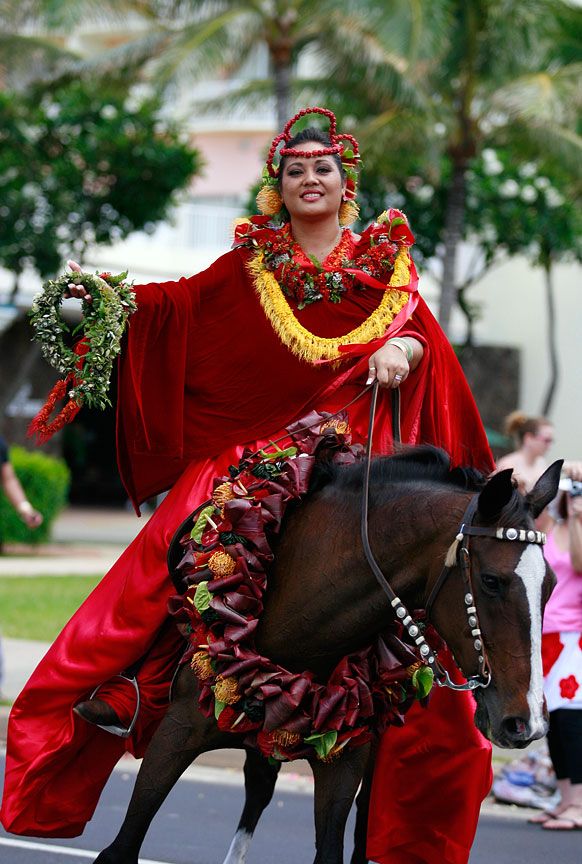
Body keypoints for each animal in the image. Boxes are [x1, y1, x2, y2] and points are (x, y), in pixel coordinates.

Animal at [93, 446, 564, 864]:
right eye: (491, 581)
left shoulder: (343, 762)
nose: (527, 723)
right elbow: (120, 848)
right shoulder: (175, 734)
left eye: (552, 585)